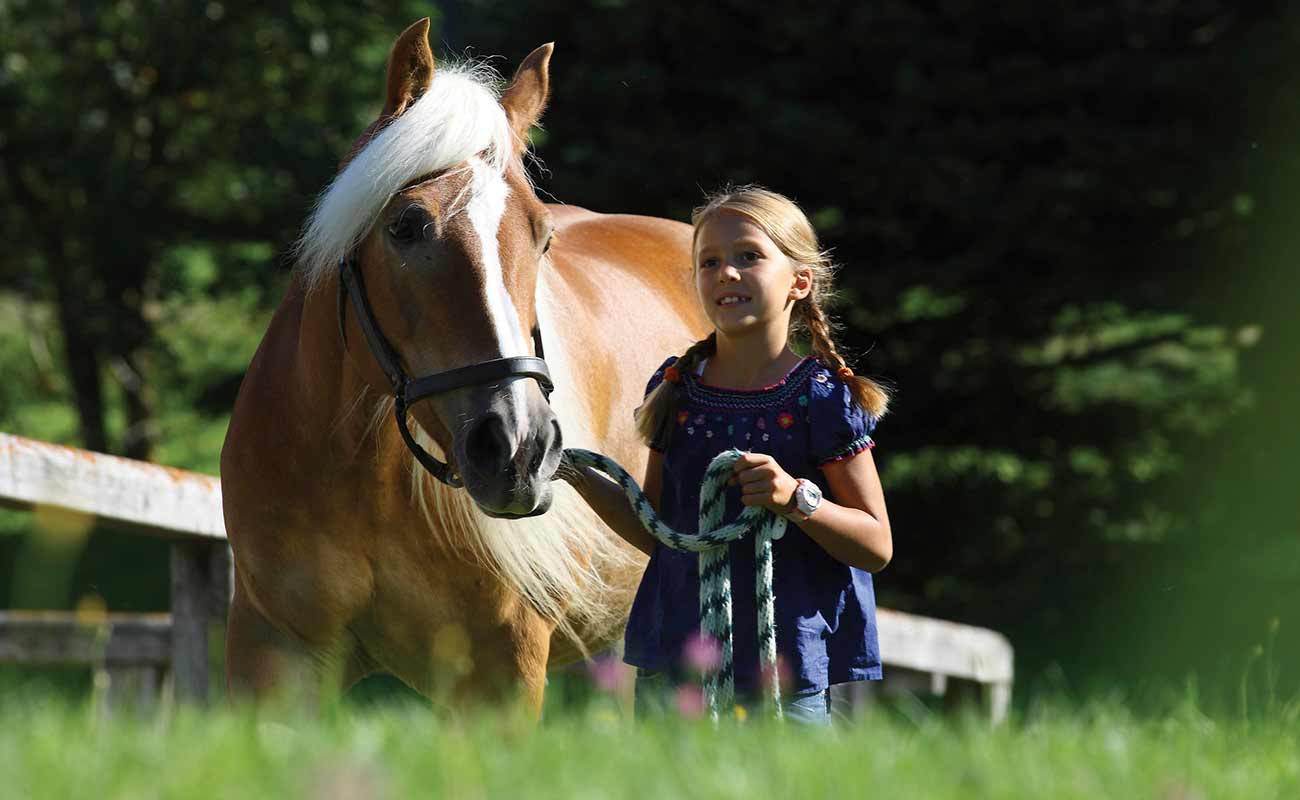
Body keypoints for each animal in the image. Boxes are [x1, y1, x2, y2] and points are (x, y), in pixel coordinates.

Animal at [223, 15, 712, 712]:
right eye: (405, 225)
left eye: (542, 236)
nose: (520, 447)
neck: (361, 480)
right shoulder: (271, 657)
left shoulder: (499, 675)